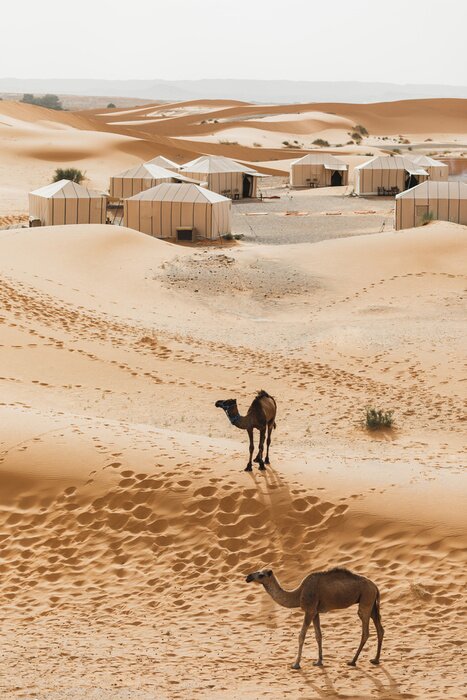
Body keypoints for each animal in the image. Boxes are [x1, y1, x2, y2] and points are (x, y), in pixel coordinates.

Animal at [245, 567, 384, 669]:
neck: (298, 594)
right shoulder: (315, 612)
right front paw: (318, 662)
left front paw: (296, 664)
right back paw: (375, 660)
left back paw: (352, 661)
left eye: (261, 575)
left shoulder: (310, 610)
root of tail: (376, 586)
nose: (248, 577)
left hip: (366, 599)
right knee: (380, 628)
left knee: (365, 630)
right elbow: (318, 635)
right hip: (371, 603)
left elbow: (301, 636)